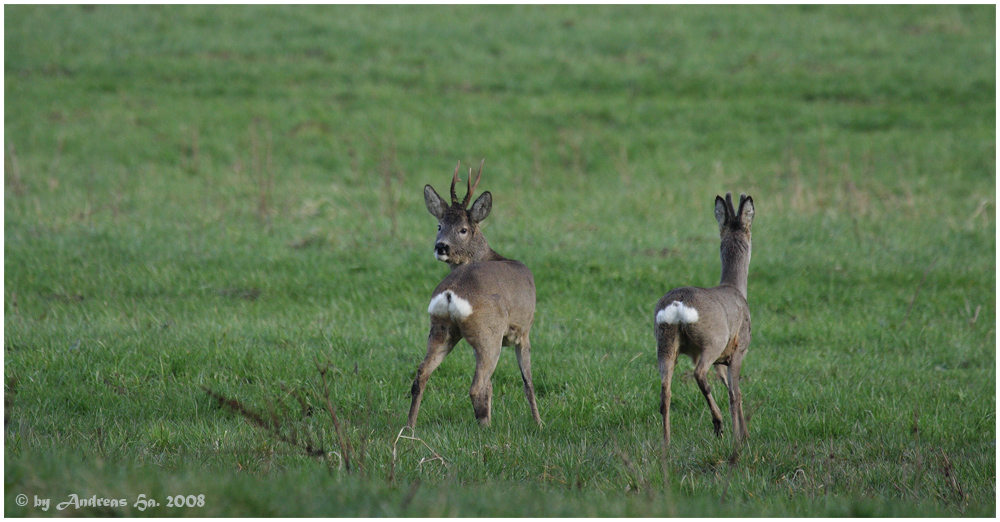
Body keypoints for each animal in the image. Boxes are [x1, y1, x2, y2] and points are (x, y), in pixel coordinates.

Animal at [404, 159, 544, 426]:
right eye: (440, 225)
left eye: (463, 229)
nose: (441, 246)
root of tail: (450, 294)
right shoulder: (525, 330)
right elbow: (528, 382)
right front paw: (539, 424)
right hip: (489, 334)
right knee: (477, 386)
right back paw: (486, 429)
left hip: (440, 329)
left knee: (421, 374)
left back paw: (409, 427)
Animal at [652, 189, 752, 448]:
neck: (735, 288)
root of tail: (679, 305)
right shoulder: (738, 348)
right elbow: (735, 393)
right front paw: (741, 438)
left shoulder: (722, 360)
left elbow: (731, 388)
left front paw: (744, 434)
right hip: (712, 339)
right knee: (699, 374)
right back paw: (718, 424)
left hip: (664, 343)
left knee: (665, 391)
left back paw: (666, 443)